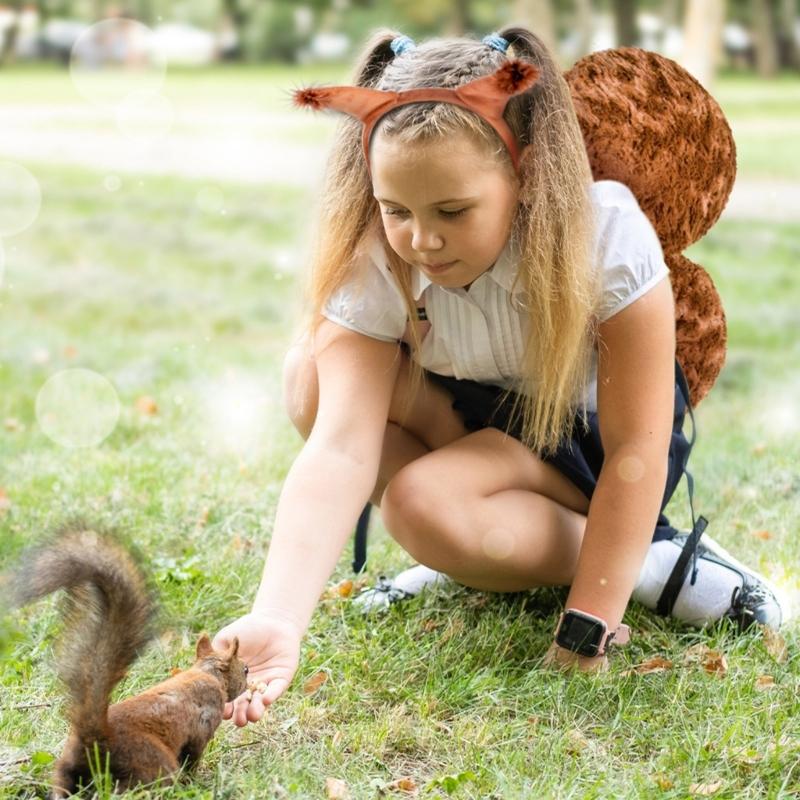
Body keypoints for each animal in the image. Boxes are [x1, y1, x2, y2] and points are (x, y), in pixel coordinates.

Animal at [12, 524, 248, 798]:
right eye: (245, 669)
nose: (249, 682)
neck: (207, 673)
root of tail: (96, 743)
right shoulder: (202, 726)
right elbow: (193, 756)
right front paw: (195, 781)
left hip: (65, 771)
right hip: (150, 763)